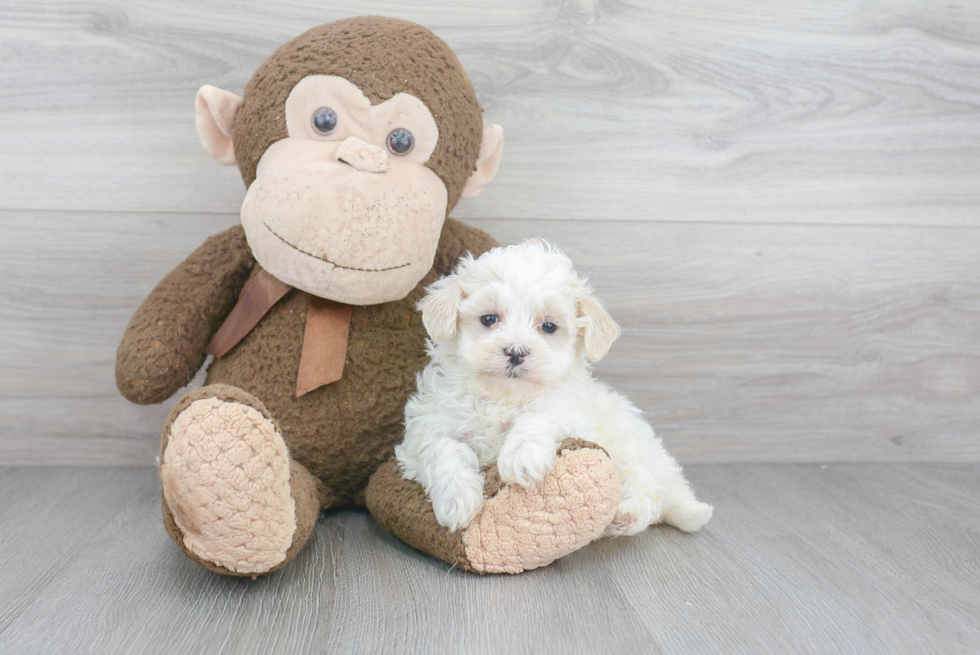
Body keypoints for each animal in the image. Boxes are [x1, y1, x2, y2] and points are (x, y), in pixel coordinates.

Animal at [396, 242, 712, 540]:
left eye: (548, 326)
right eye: (489, 319)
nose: (516, 352)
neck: (503, 397)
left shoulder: (571, 412)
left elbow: (539, 415)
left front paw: (521, 457)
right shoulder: (428, 425)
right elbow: (443, 447)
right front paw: (457, 499)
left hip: (629, 446)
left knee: (650, 493)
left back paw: (625, 514)